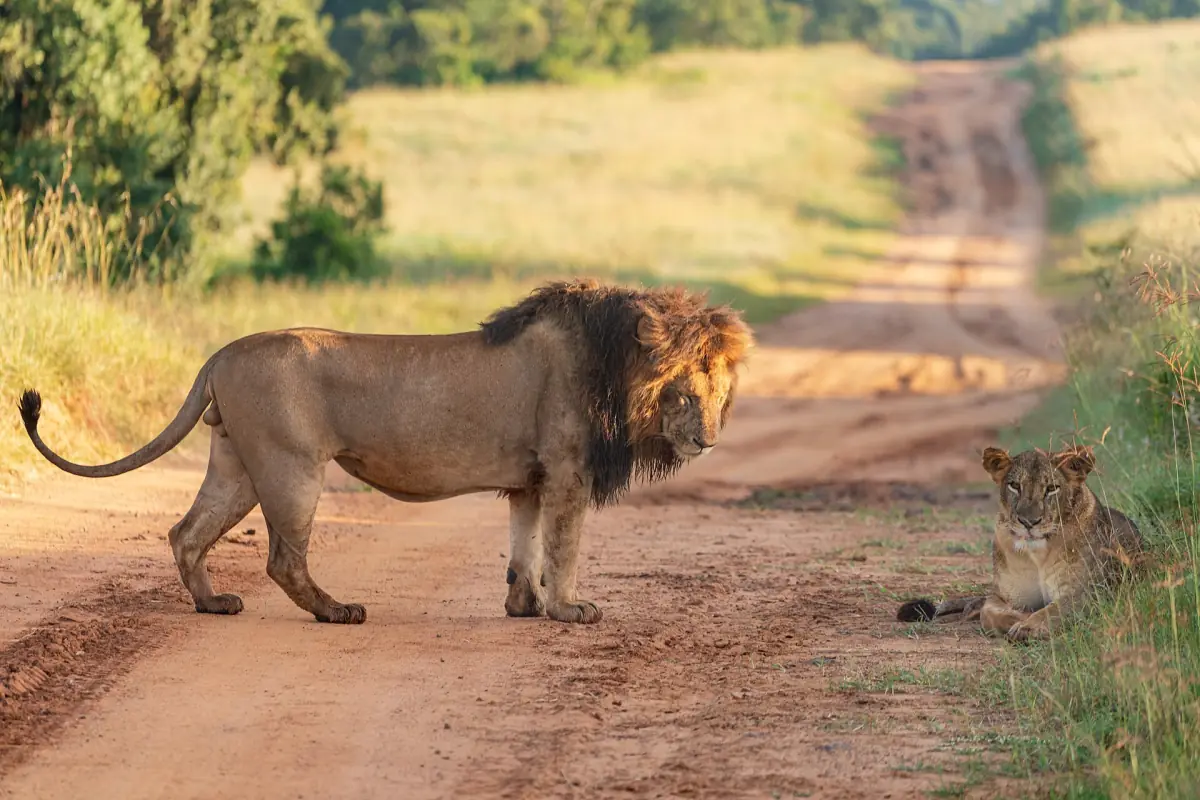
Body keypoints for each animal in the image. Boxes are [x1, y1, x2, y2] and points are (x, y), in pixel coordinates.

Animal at [19, 279, 753, 625]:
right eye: (690, 382)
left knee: (186, 533)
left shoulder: (530, 479)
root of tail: (222, 352)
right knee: (283, 558)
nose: (710, 438)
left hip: (236, 464)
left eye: (721, 383)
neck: (617, 364)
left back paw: (213, 604)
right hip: (290, 465)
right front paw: (571, 610)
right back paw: (337, 612)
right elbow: (564, 546)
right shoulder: (568, 471)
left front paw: (524, 606)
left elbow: (524, 547)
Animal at [897, 445, 1143, 642]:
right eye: (1015, 485)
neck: (1038, 556)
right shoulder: (1005, 596)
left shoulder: (1092, 593)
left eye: (1051, 488)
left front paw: (1028, 627)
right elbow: (990, 612)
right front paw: (1019, 618)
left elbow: (1055, 610)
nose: (1028, 522)